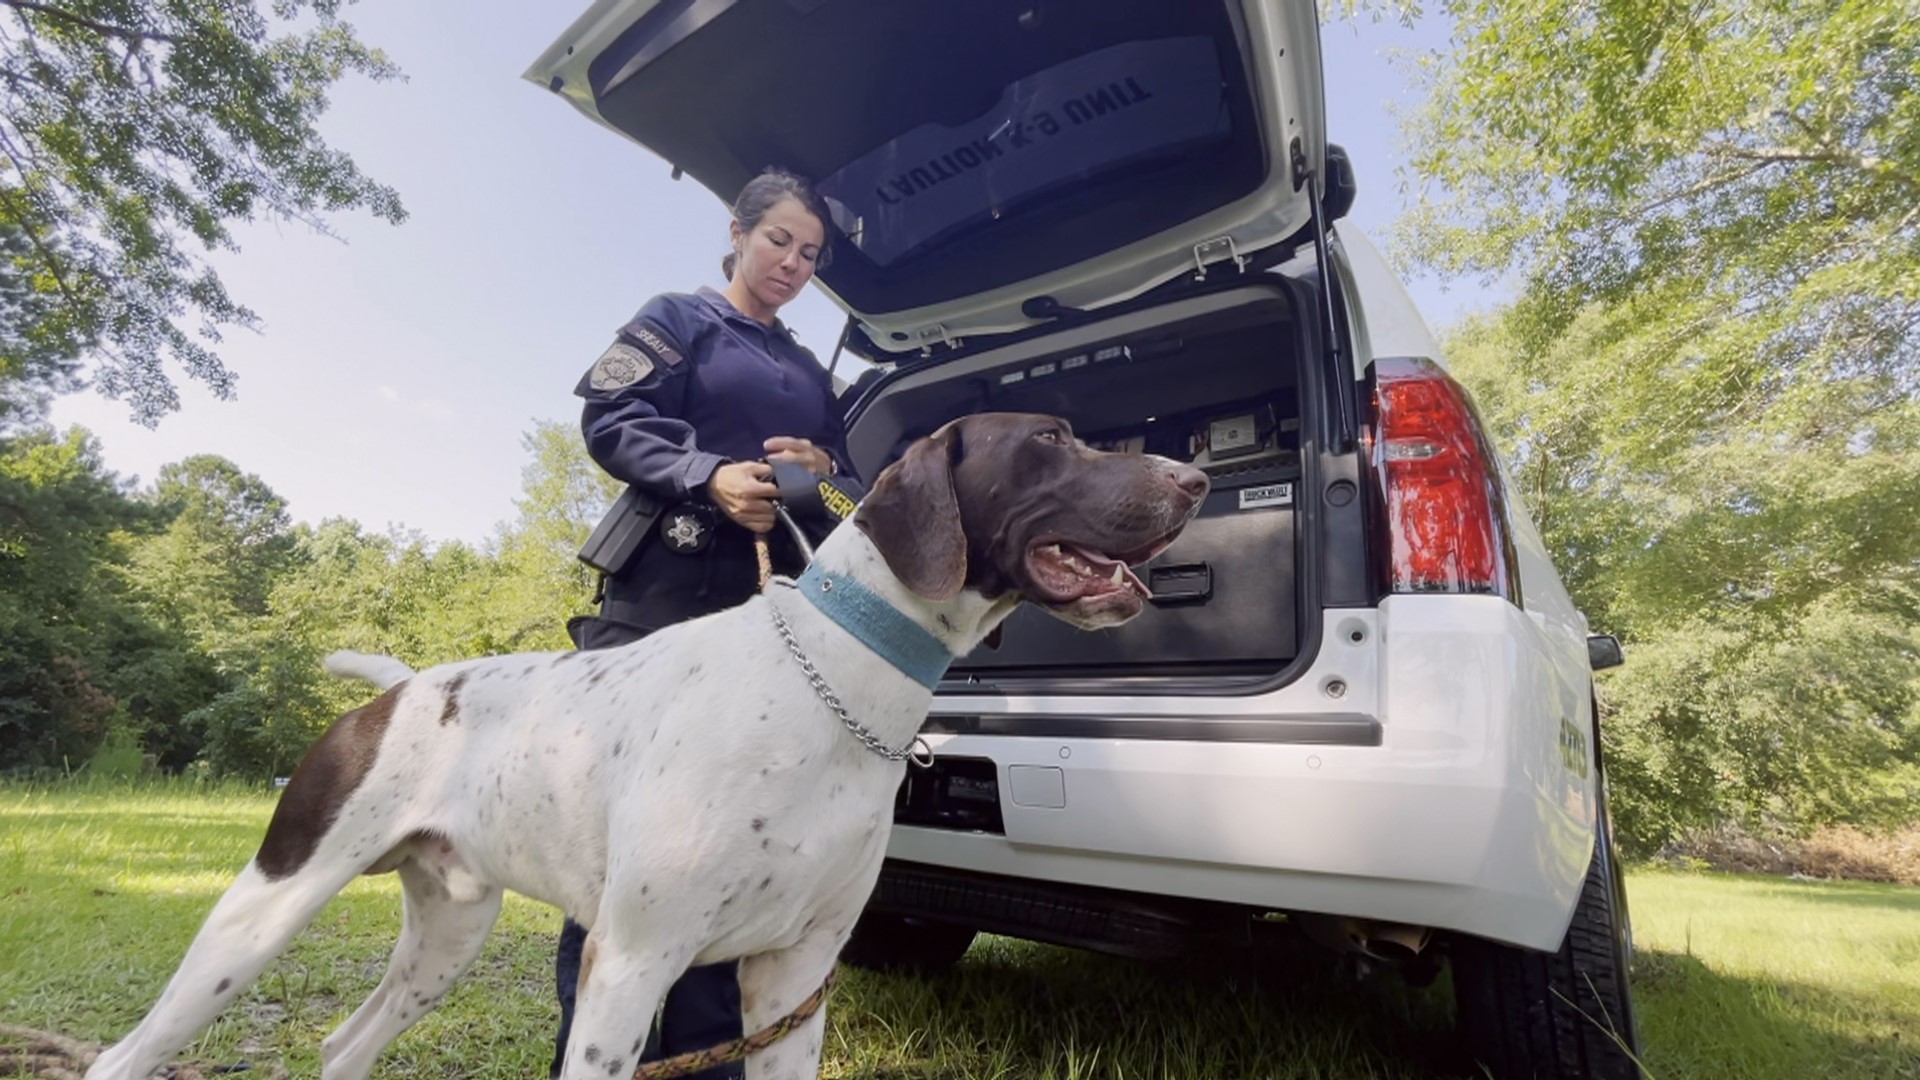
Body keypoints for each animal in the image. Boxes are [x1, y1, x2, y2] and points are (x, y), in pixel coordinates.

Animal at [90, 411, 1205, 1076]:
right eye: (1051, 440)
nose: (1194, 479)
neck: (832, 687)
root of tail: (404, 688)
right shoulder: (628, 968)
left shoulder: (792, 978)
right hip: (261, 915)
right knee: (125, 1056)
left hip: (446, 934)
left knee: (344, 1044)